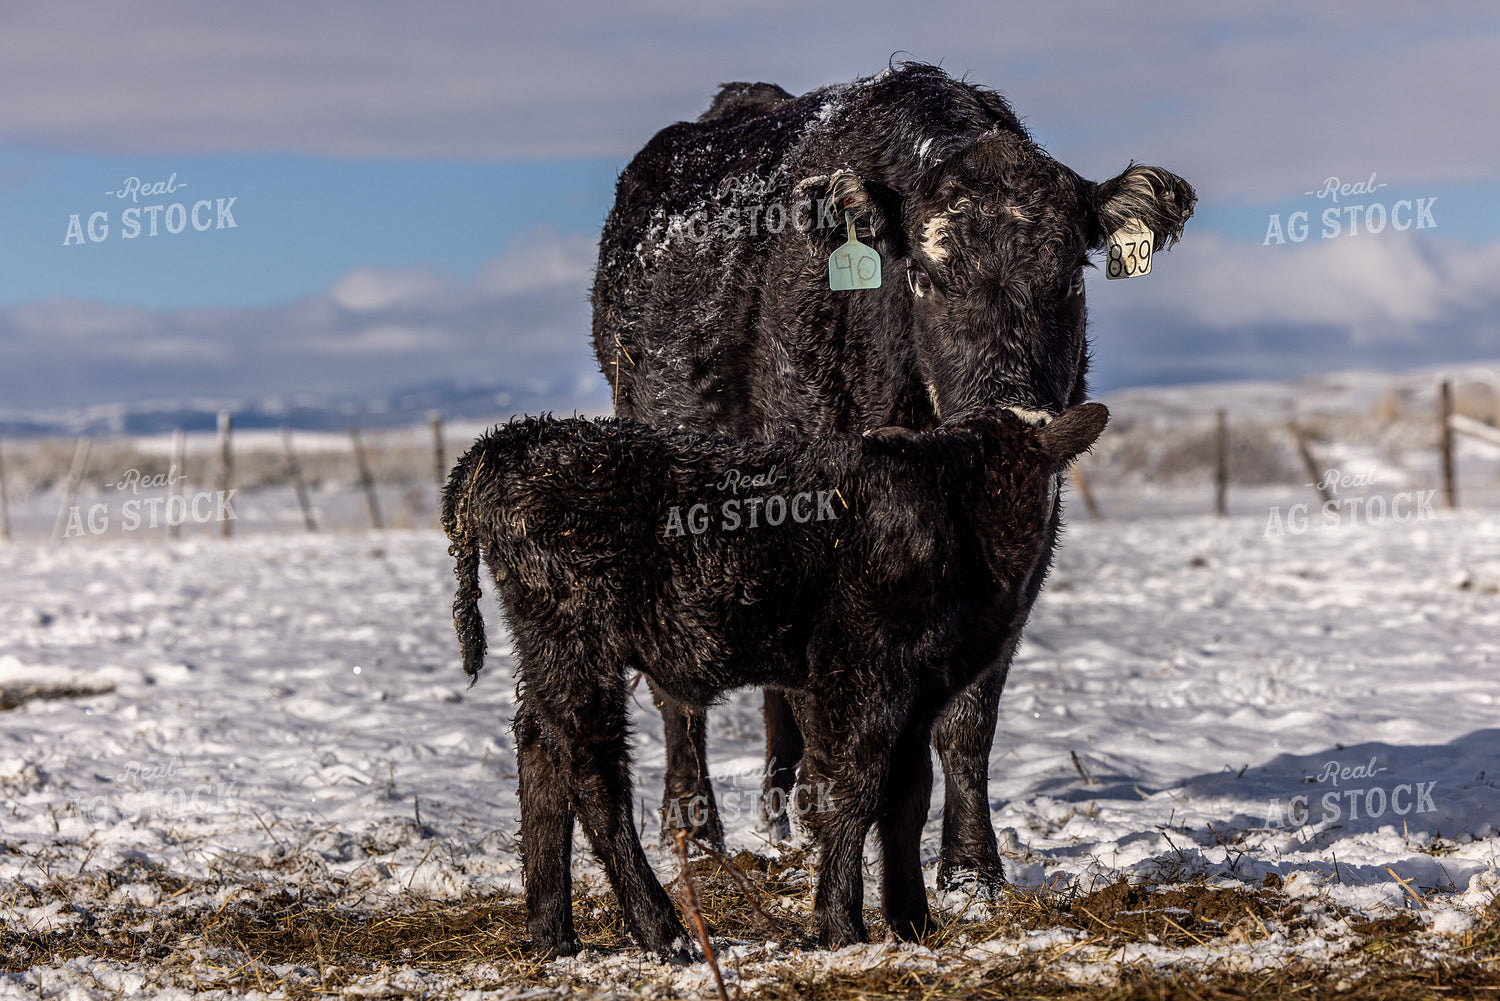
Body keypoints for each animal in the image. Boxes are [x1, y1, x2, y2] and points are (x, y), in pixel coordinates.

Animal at [590, 61, 1194, 892]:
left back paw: (779, 816)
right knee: (679, 688)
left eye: (1070, 272)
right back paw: (697, 829)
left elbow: (969, 714)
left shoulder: (1030, 531)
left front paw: (971, 870)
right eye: (926, 277)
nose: (1005, 418)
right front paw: (836, 825)